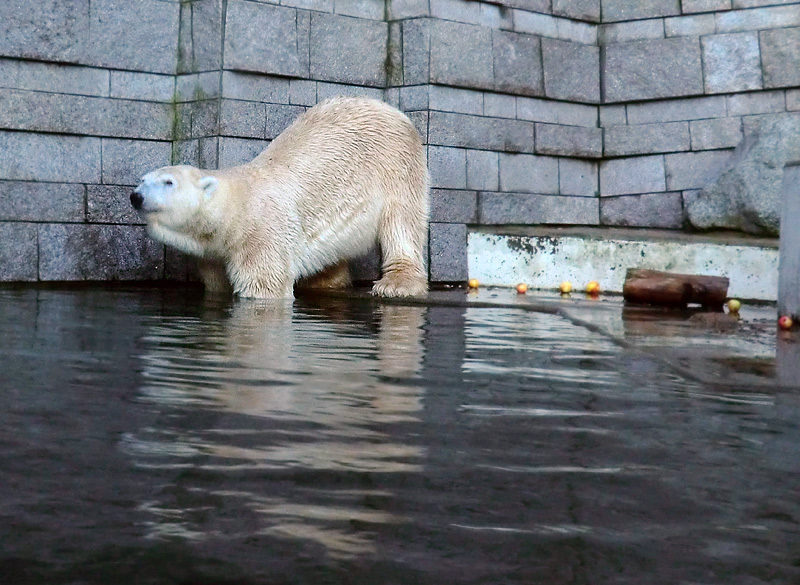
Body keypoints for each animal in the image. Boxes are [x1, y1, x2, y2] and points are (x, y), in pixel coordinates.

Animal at [130, 97, 428, 296]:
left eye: (168, 182)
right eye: (142, 180)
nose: (136, 197)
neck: (234, 209)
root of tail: (391, 109)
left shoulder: (261, 233)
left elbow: (264, 285)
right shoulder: (212, 255)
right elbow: (217, 285)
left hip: (396, 166)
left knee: (401, 222)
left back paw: (397, 283)